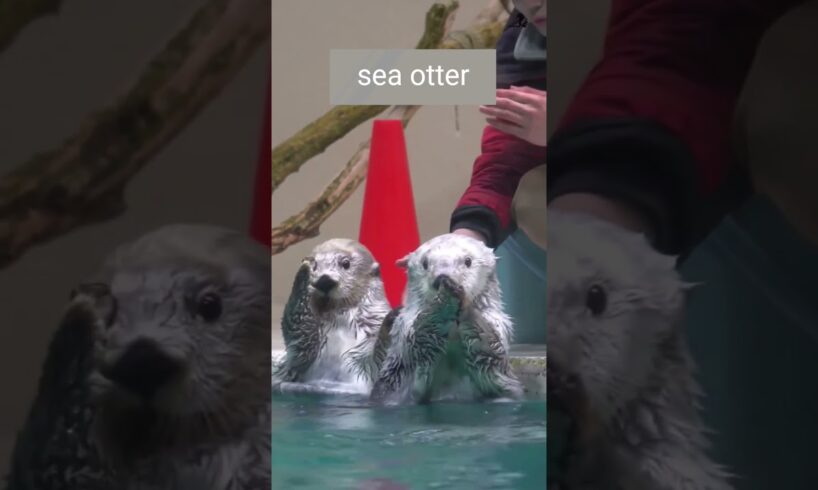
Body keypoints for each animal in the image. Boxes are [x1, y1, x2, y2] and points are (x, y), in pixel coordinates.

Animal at [275, 239, 392, 390]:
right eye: (315, 264)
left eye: (346, 263)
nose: (324, 281)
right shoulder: (301, 352)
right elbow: (300, 333)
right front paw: (304, 270)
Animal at [370, 233, 523, 404]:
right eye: (425, 263)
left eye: (468, 261)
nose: (442, 277)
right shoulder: (404, 329)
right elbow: (419, 339)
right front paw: (446, 298)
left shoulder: (499, 325)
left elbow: (490, 348)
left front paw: (461, 303)